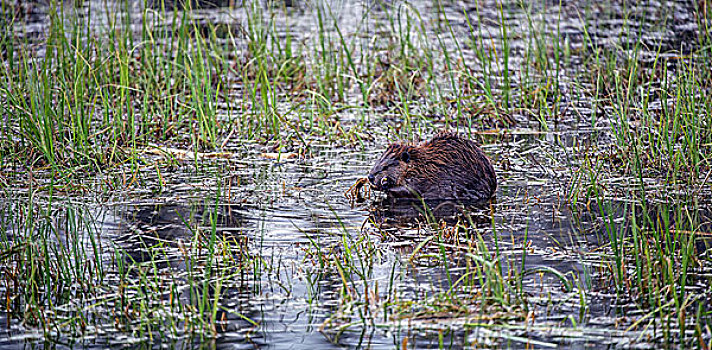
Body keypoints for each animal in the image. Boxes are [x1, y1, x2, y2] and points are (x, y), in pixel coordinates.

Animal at [368, 133, 496, 201]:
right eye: (378, 161)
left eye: (387, 166)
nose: (370, 177)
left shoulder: (421, 180)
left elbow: (411, 191)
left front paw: (384, 186)